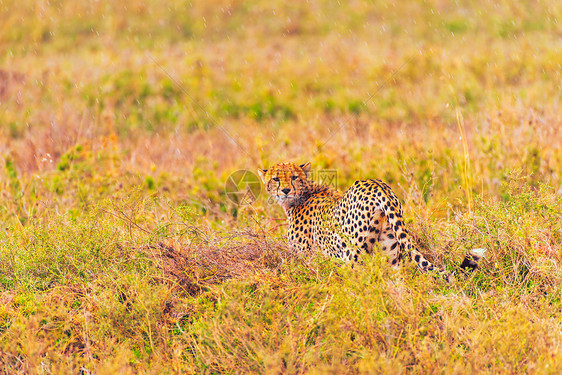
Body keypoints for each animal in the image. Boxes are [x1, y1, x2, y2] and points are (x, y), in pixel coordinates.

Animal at [258, 162, 482, 280]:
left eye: (294, 177)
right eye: (276, 178)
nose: (285, 190)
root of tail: (377, 185)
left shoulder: (306, 258)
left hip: (353, 255)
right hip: (390, 253)